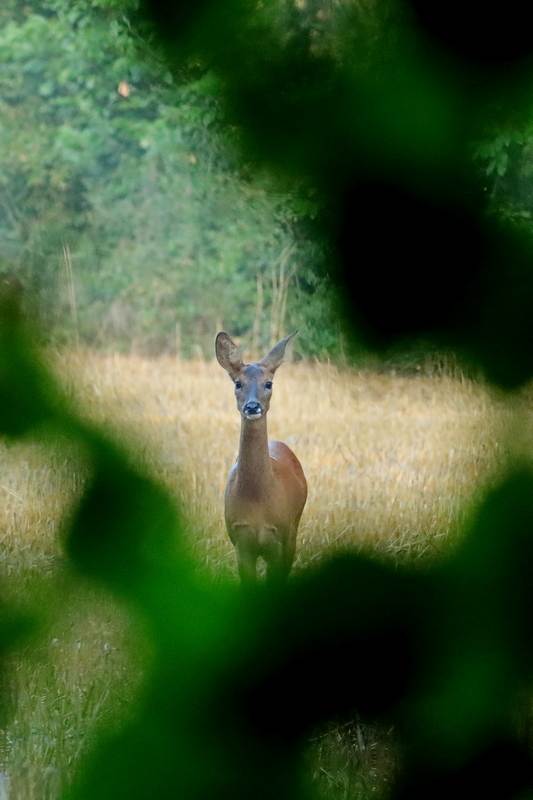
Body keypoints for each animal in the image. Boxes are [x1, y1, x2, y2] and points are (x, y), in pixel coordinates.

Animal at [215, 328, 306, 584]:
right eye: (238, 383)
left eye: (268, 383)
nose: (252, 407)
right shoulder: (241, 541)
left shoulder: (279, 538)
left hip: (293, 529)